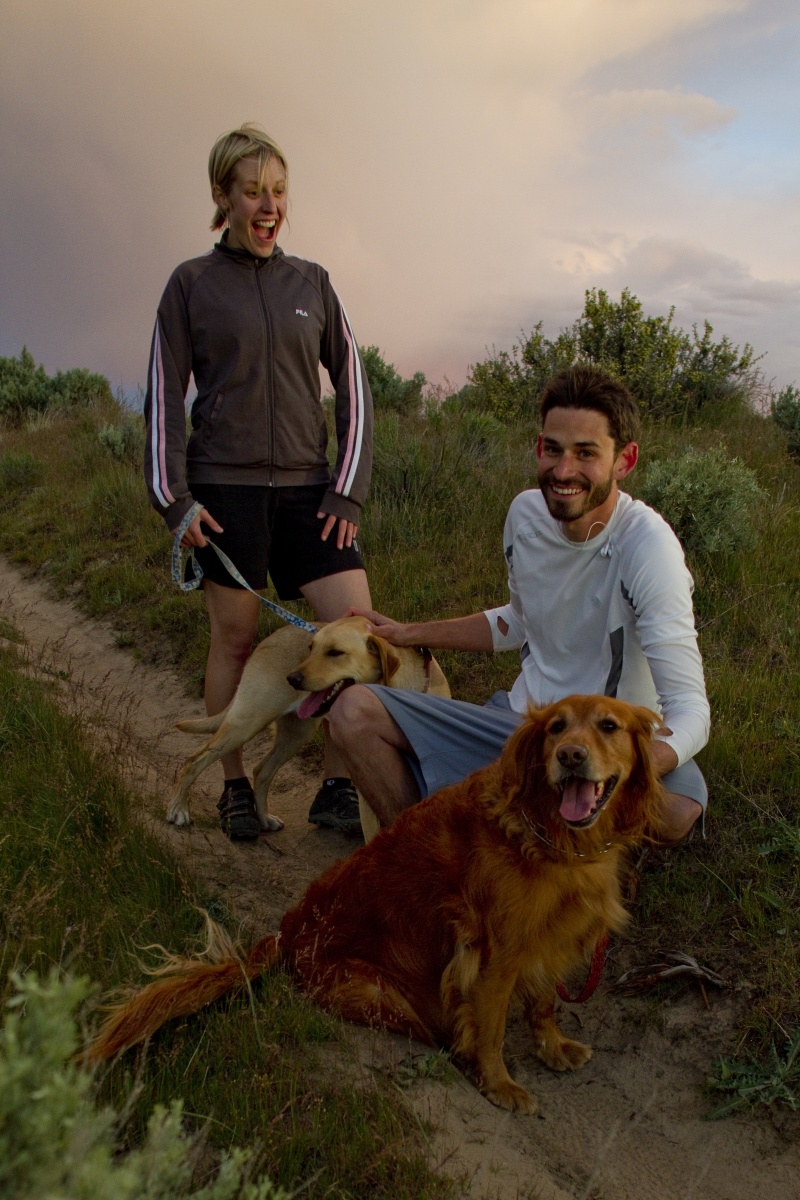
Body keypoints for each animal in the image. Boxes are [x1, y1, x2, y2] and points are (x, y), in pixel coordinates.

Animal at [90, 696, 662, 1113]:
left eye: (608, 726)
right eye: (555, 729)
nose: (570, 756)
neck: (551, 837)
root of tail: (288, 931)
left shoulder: (549, 935)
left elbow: (543, 1003)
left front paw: (553, 1047)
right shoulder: (494, 956)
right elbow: (493, 1029)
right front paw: (499, 1084)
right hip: (382, 995)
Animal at [166, 614, 450, 840]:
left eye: (335, 652)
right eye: (311, 648)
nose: (291, 678)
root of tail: (267, 639)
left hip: (294, 735)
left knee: (261, 770)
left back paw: (264, 819)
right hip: (246, 723)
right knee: (193, 761)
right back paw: (178, 809)